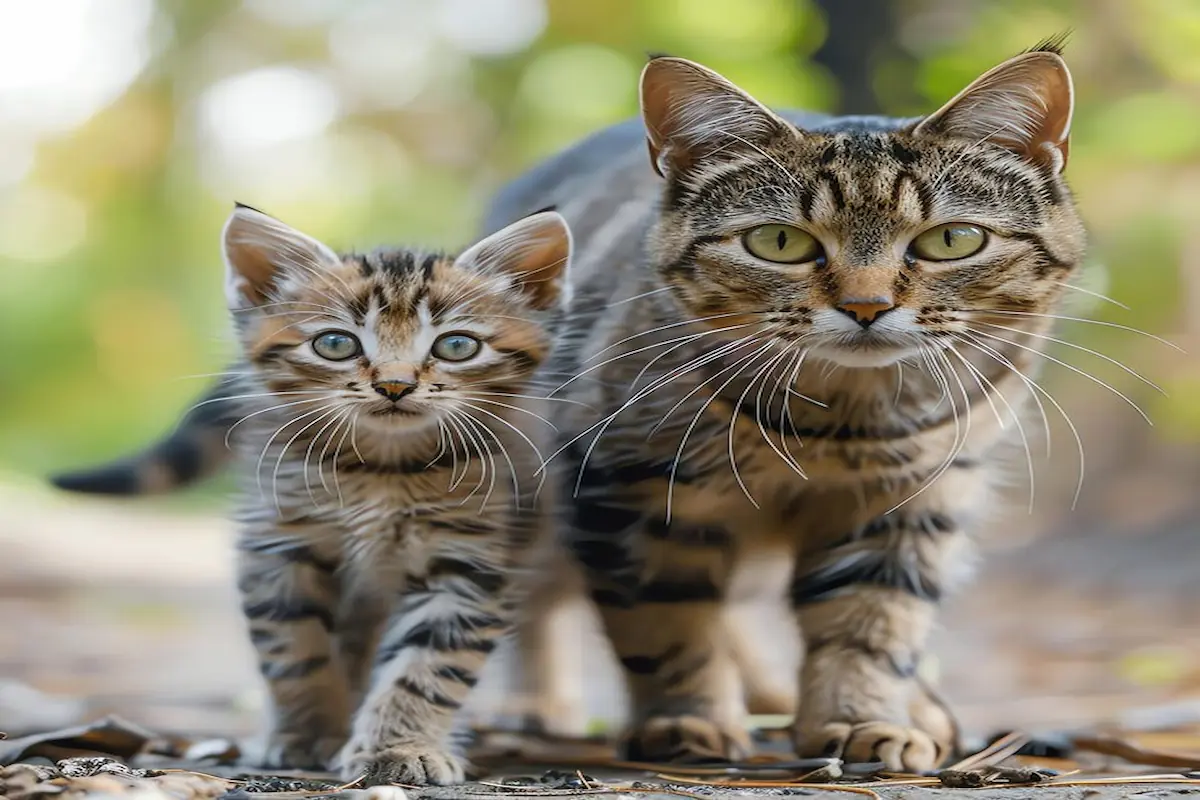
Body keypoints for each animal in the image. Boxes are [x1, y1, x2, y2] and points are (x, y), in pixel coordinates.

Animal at [151, 203, 571, 786]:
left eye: (456, 345)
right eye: (336, 344)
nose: (395, 385)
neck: (382, 470)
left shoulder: (470, 560)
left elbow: (427, 667)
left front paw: (399, 746)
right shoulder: (280, 545)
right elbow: (295, 650)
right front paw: (306, 734)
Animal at [480, 47, 1089, 772]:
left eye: (951, 241)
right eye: (778, 242)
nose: (866, 306)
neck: (835, 426)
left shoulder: (909, 504)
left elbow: (869, 626)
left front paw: (859, 717)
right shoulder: (630, 491)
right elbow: (665, 622)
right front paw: (685, 719)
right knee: (533, 590)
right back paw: (536, 704)